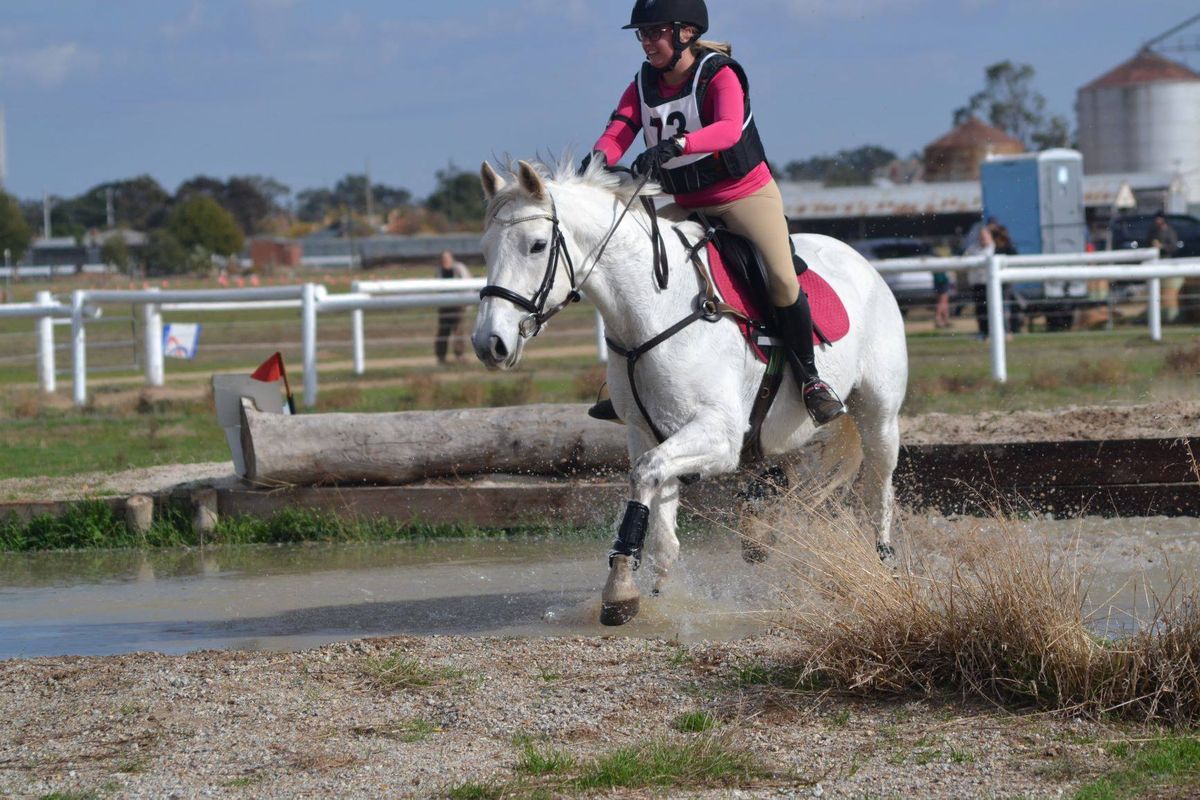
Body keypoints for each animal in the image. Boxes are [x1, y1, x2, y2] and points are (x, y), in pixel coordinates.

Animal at [472, 158, 902, 623]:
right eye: (485, 249)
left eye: (536, 246)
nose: (489, 344)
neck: (652, 309)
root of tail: (860, 260)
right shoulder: (647, 430)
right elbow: (660, 518)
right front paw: (653, 593)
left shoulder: (719, 435)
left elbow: (646, 475)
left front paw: (620, 589)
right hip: (793, 431)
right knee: (793, 475)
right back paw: (762, 532)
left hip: (878, 416)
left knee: (878, 489)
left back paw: (883, 567)